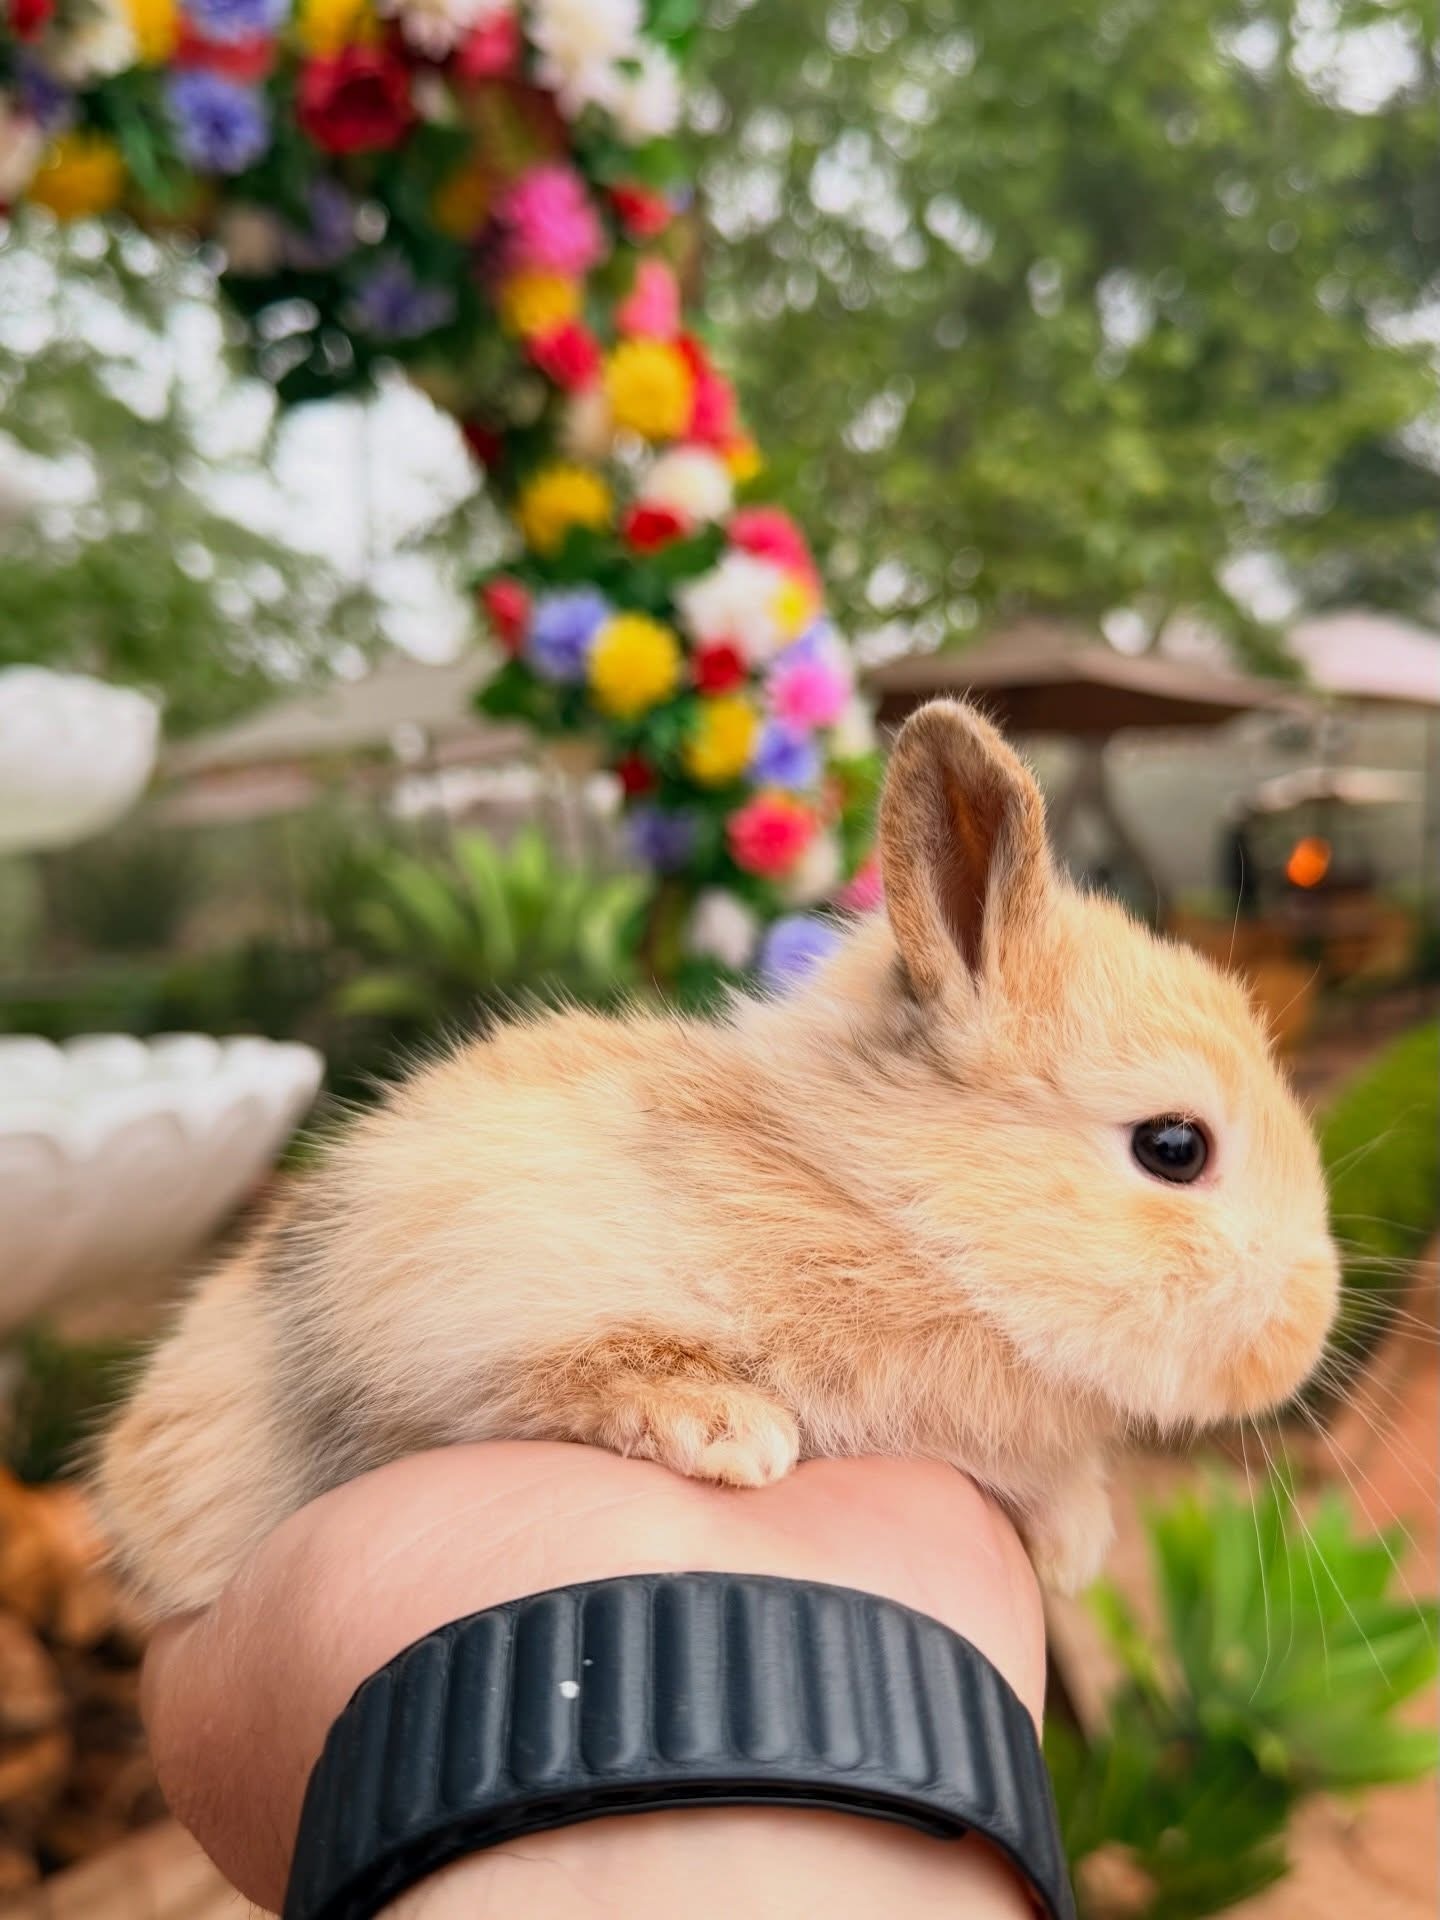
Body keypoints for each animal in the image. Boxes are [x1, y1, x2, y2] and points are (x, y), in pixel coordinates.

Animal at [95, 699, 1340, 1615]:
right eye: (1174, 1147)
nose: (1303, 1336)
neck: (888, 1214)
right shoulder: (460, 1299)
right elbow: (572, 1369)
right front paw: (726, 1430)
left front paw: (1073, 1535)